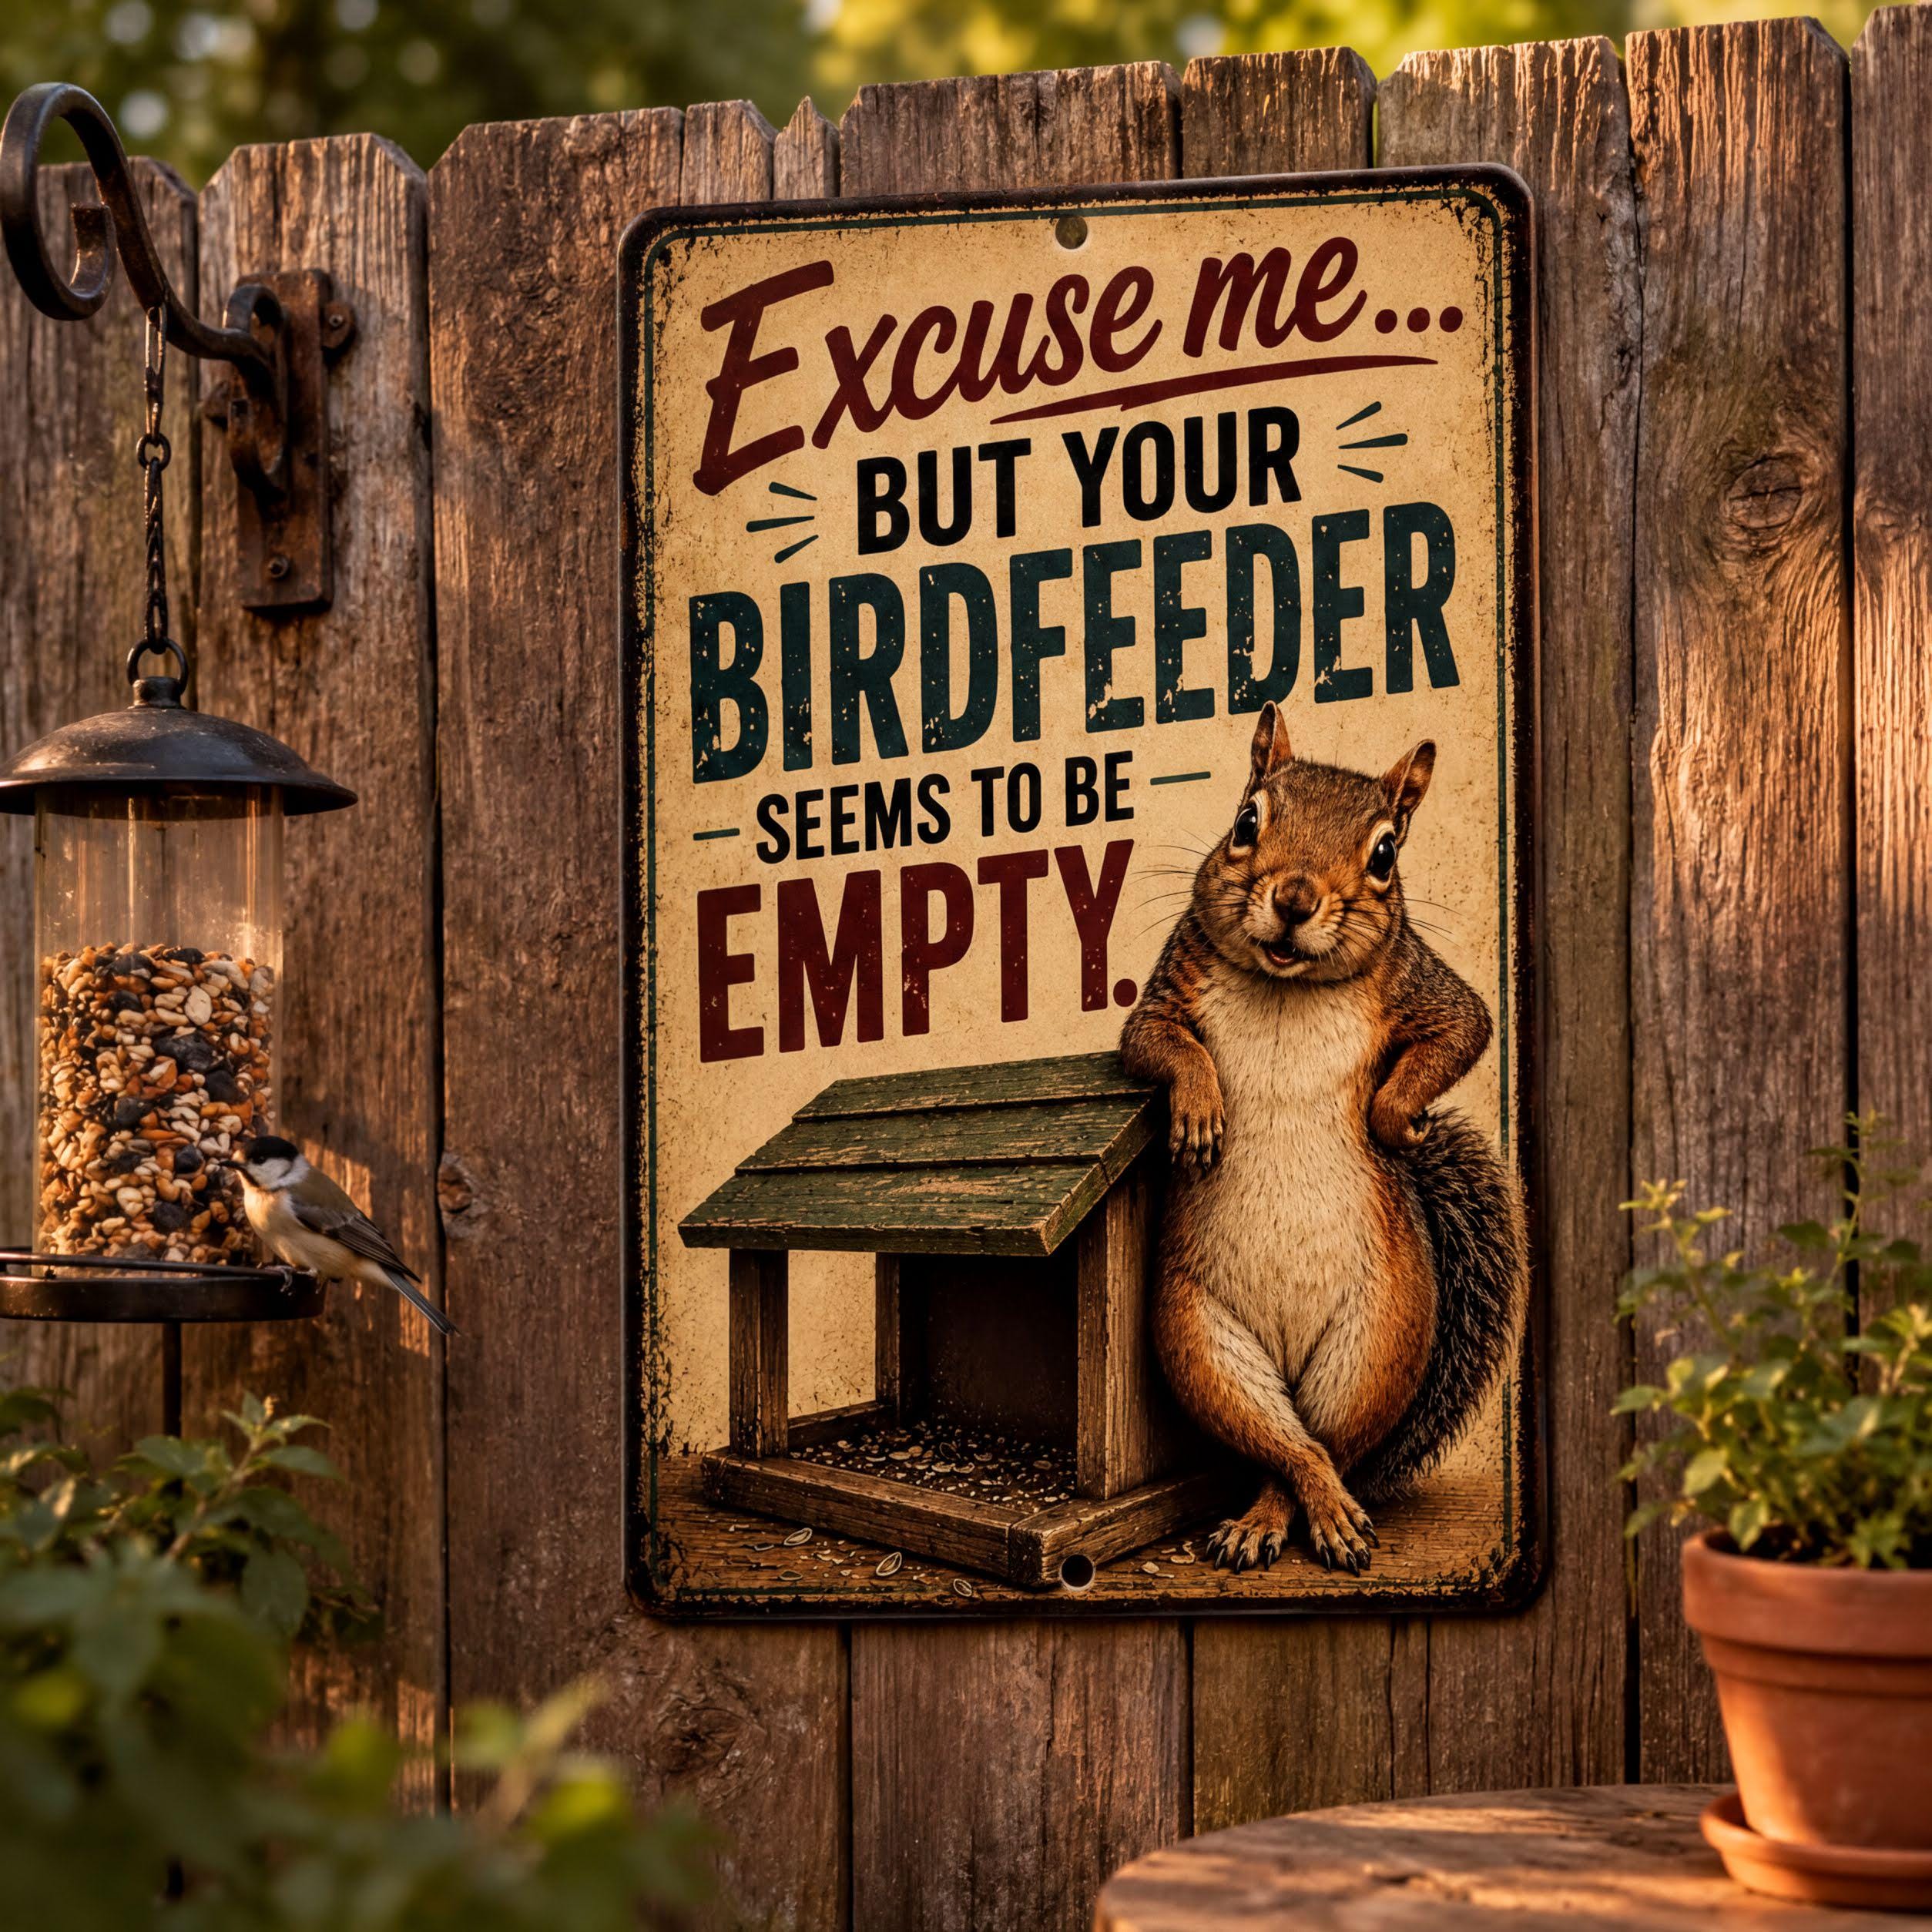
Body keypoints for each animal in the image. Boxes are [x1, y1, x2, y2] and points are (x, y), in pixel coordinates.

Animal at [1120, 701, 1527, 1575]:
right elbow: (1159, 1045)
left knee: (1323, 1447)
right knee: (1285, 1444)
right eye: (1247, 821)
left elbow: (1463, 1030)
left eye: (1385, 854)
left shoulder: (1424, 986)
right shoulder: (1170, 987)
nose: (1297, 898)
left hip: (1375, 1345)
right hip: (1200, 1340)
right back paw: (1267, 1520)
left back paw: (1315, 1517)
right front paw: (1198, 1114)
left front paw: (1395, 1122)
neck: (1286, 986)